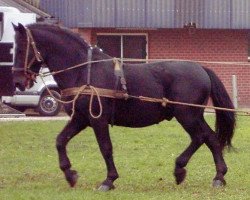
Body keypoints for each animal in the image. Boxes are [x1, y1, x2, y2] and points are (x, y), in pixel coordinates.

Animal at [11, 23, 235, 191]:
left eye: (21, 49)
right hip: (193, 116)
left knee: (201, 137)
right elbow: (60, 140)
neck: (84, 72)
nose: (18, 82)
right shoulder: (81, 119)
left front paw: (109, 180)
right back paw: (217, 176)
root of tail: (201, 68)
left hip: (187, 115)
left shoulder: (97, 119)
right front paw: (70, 174)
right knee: (210, 138)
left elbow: (105, 148)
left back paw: (185, 170)